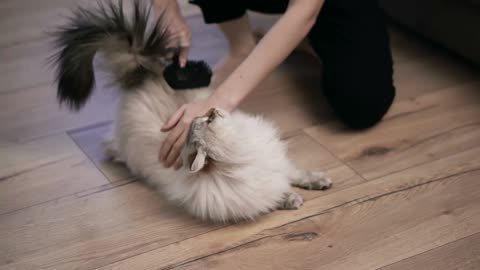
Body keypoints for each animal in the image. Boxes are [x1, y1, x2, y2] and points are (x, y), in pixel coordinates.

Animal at [50, 0, 332, 223]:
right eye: (208, 119)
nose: (209, 110)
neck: (241, 157)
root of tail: (143, 74)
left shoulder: (278, 162)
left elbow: (296, 172)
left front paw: (318, 180)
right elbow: (276, 194)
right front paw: (291, 198)